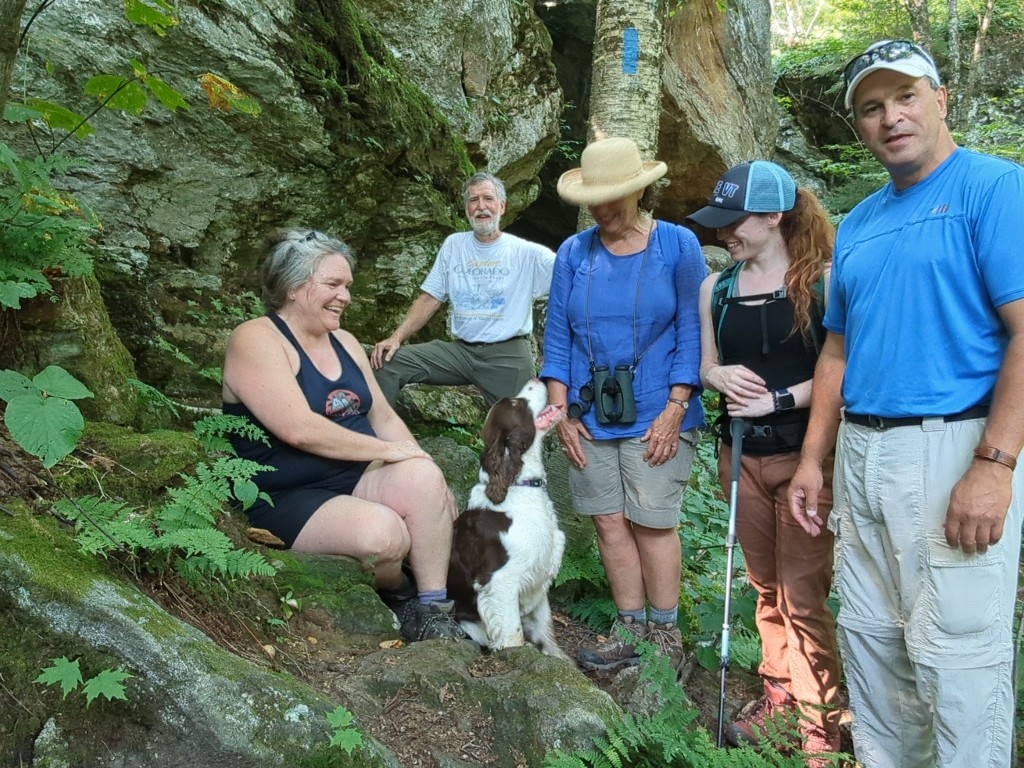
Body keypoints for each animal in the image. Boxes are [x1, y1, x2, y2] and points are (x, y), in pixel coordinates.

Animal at [448, 376, 569, 655]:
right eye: (516, 404)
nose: (538, 377)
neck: (520, 486)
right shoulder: (500, 581)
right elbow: (513, 635)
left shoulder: (538, 581)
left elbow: (547, 633)